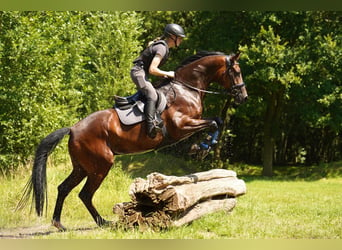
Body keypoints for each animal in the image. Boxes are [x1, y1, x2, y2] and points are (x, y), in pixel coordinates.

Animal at [17, 50, 247, 230]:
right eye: (235, 72)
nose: (243, 97)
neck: (187, 89)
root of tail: (73, 129)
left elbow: (217, 121)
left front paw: (202, 147)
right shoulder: (182, 126)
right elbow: (214, 123)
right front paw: (201, 147)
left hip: (82, 166)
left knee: (64, 188)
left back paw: (59, 223)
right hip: (101, 165)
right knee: (85, 194)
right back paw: (103, 222)